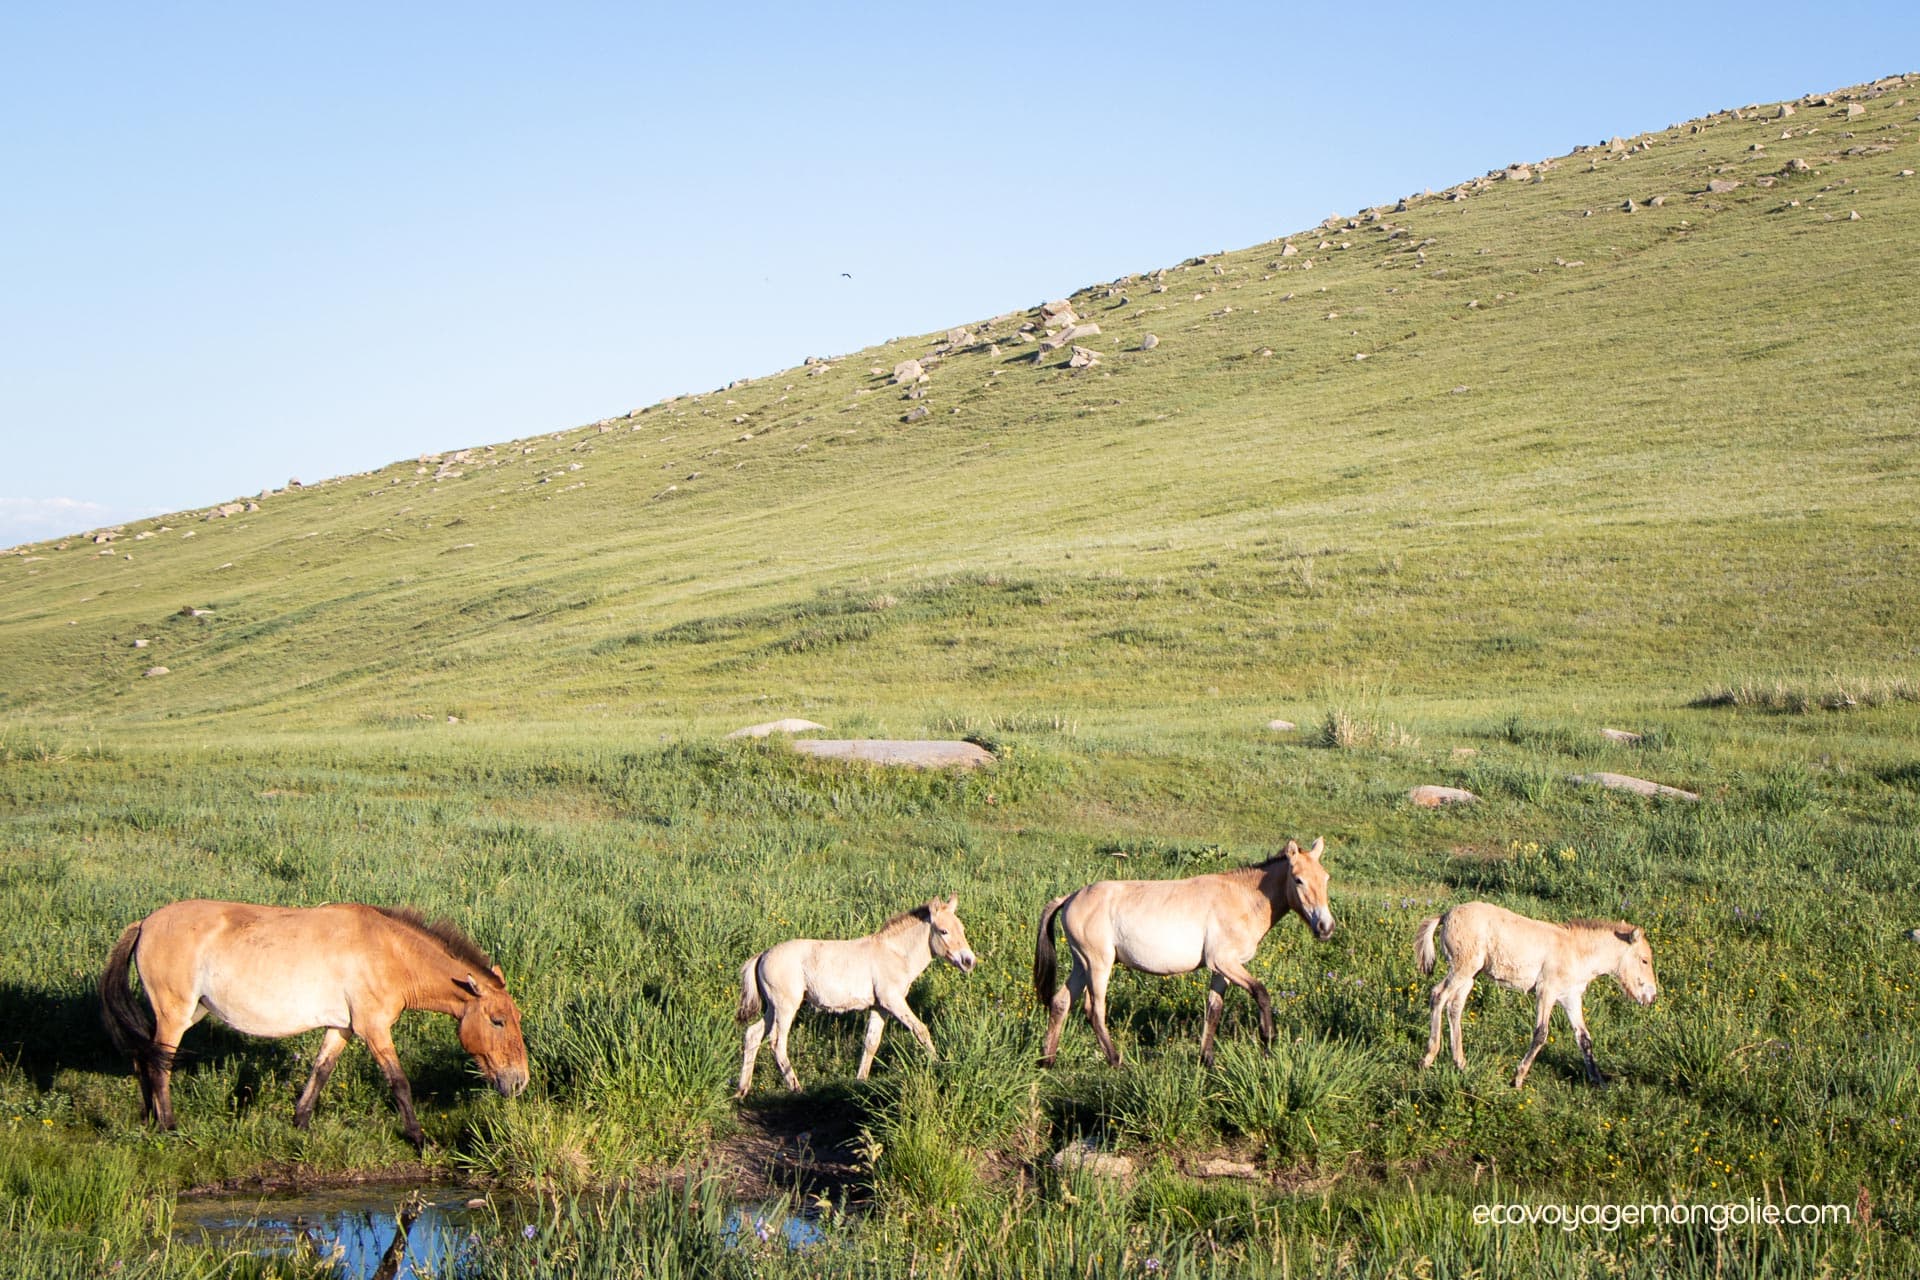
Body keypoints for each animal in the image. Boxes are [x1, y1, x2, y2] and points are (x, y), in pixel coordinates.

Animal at [101, 901, 529, 1151]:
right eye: (497, 1021)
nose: (519, 1082)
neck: (388, 952)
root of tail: (144, 923)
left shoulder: (341, 1029)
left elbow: (320, 1072)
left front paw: (301, 1123)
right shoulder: (374, 1029)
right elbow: (399, 1083)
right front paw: (420, 1138)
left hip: (190, 1013)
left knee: (144, 1058)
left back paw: (148, 1117)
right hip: (174, 1014)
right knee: (159, 1066)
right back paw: (169, 1127)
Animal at [733, 898, 975, 1097]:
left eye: (961, 929)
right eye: (943, 931)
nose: (969, 961)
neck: (895, 954)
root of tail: (762, 955)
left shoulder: (880, 1007)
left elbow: (871, 1042)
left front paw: (860, 1082)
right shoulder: (893, 1001)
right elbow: (921, 1030)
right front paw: (939, 1065)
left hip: (772, 1008)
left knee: (752, 1035)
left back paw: (742, 1090)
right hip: (786, 1007)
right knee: (777, 1043)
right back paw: (796, 1088)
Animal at [1036, 840, 1336, 1074]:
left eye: (1325, 878)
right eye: (1298, 879)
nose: (1326, 927)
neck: (1241, 898)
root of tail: (1071, 897)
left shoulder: (1221, 970)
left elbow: (1213, 1011)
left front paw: (1208, 1060)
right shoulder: (1226, 962)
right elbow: (1261, 993)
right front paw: (1267, 1044)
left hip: (1081, 964)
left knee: (1060, 1002)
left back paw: (1047, 1060)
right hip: (1098, 964)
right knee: (1094, 1011)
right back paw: (1116, 1061)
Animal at [1420, 901, 1658, 1090]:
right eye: (1644, 960)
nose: (1651, 997)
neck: (1575, 952)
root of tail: (1446, 915)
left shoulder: (1570, 997)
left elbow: (1584, 1038)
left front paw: (1599, 1081)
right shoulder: (1546, 991)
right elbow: (1541, 1034)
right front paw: (1517, 1079)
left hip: (1470, 975)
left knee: (1455, 1007)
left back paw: (1460, 1063)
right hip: (1462, 968)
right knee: (1438, 995)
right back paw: (1428, 1058)